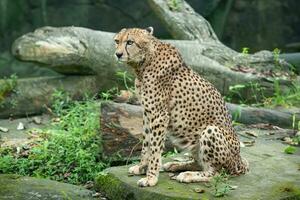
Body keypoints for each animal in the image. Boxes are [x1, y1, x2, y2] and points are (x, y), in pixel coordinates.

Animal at [112, 27, 248, 187]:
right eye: (117, 41)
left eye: (130, 42)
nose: (118, 54)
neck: (144, 62)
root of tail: (240, 162)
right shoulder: (147, 113)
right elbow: (146, 142)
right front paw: (141, 167)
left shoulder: (159, 115)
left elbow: (155, 148)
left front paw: (151, 178)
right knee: (200, 163)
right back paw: (176, 165)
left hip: (211, 130)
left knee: (216, 173)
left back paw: (188, 175)